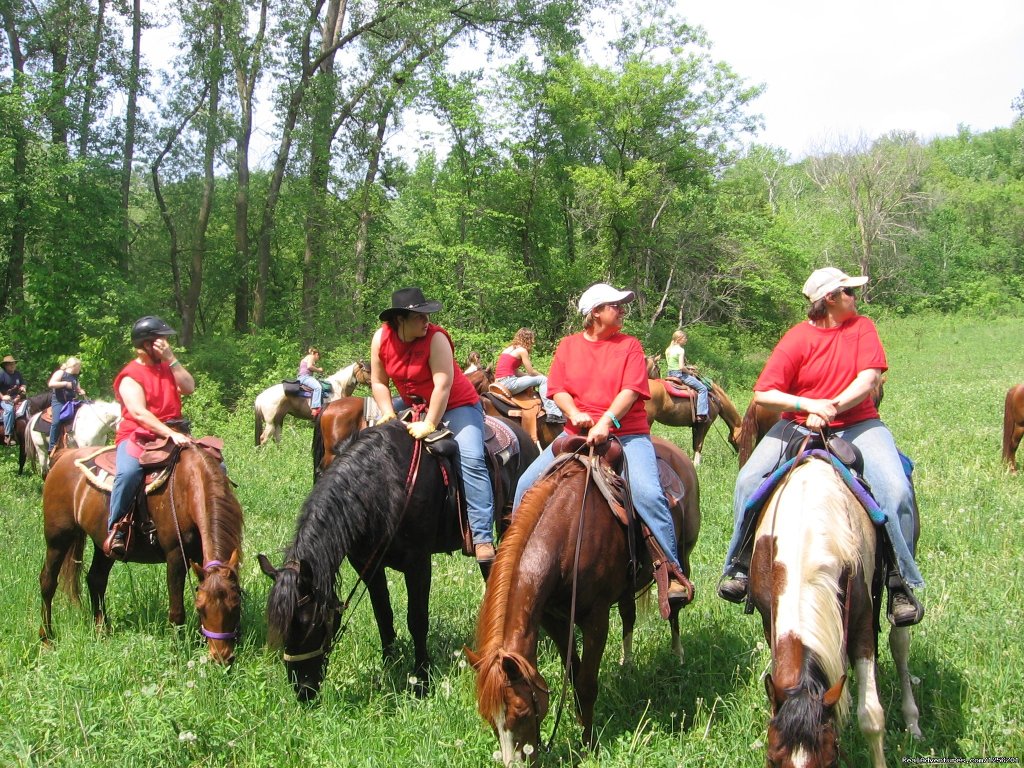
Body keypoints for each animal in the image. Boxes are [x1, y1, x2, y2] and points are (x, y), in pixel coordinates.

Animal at [260, 421, 540, 704]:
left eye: (311, 624)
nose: (303, 691)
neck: (382, 486)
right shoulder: (368, 565)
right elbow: (383, 616)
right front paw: (389, 666)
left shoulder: (418, 564)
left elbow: (417, 620)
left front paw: (422, 681)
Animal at [468, 436, 700, 765]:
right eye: (490, 719)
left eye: (522, 712)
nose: (517, 763)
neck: (567, 534)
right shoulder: (553, 619)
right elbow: (575, 675)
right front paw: (580, 723)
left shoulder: (595, 619)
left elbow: (587, 683)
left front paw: (589, 744)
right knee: (628, 614)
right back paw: (627, 662)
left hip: (684, 556)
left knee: (675, 609)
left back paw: (678, 654)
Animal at [745, 454, 921, 765]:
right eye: (772, 758)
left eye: (829, 760)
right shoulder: (770, 621)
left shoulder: (862, 625)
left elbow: (871, 716)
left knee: (900, 643)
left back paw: (912, 721)